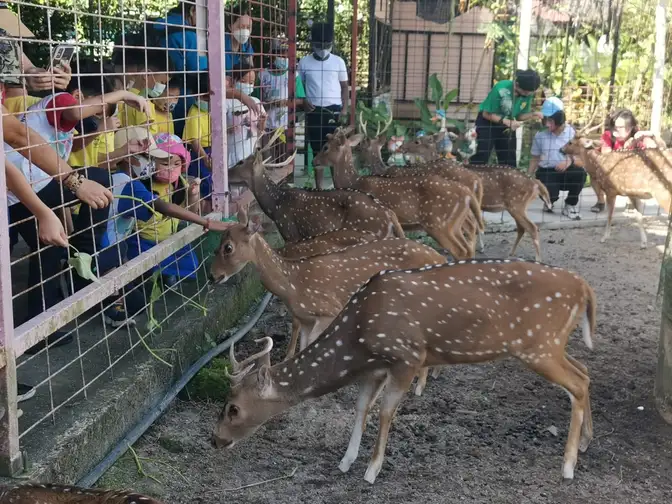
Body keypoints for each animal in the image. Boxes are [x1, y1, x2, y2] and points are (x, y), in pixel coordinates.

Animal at [212, 258, 597, 484]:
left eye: (233, 408)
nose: (216, 440)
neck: (358, 336)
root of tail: (585, 287)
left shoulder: (407, 356)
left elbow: (385, 412)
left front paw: (371, 470)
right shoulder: (374, 367)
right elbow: (361, 407)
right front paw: (346, 461)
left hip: (539, 345)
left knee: (577, 383)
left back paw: (568, 466)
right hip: (551, 345)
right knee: (585, 371)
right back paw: (587, 442)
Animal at [313, 128, 483, 260]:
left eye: (325, 147)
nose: (314, 161)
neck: (354, 182)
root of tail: (468, 189)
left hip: (439, 223)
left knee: (462, 247)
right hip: (454, 223)